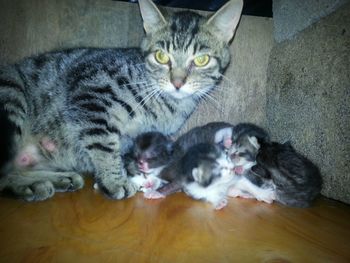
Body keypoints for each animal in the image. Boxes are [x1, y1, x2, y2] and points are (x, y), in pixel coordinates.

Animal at [0, 0, 243, 202]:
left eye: (201, 60)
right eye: (161, 56)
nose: (177, 82)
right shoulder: (90, 92)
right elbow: (104, 143)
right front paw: (114, 181)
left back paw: (51, 181)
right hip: (12, 95)